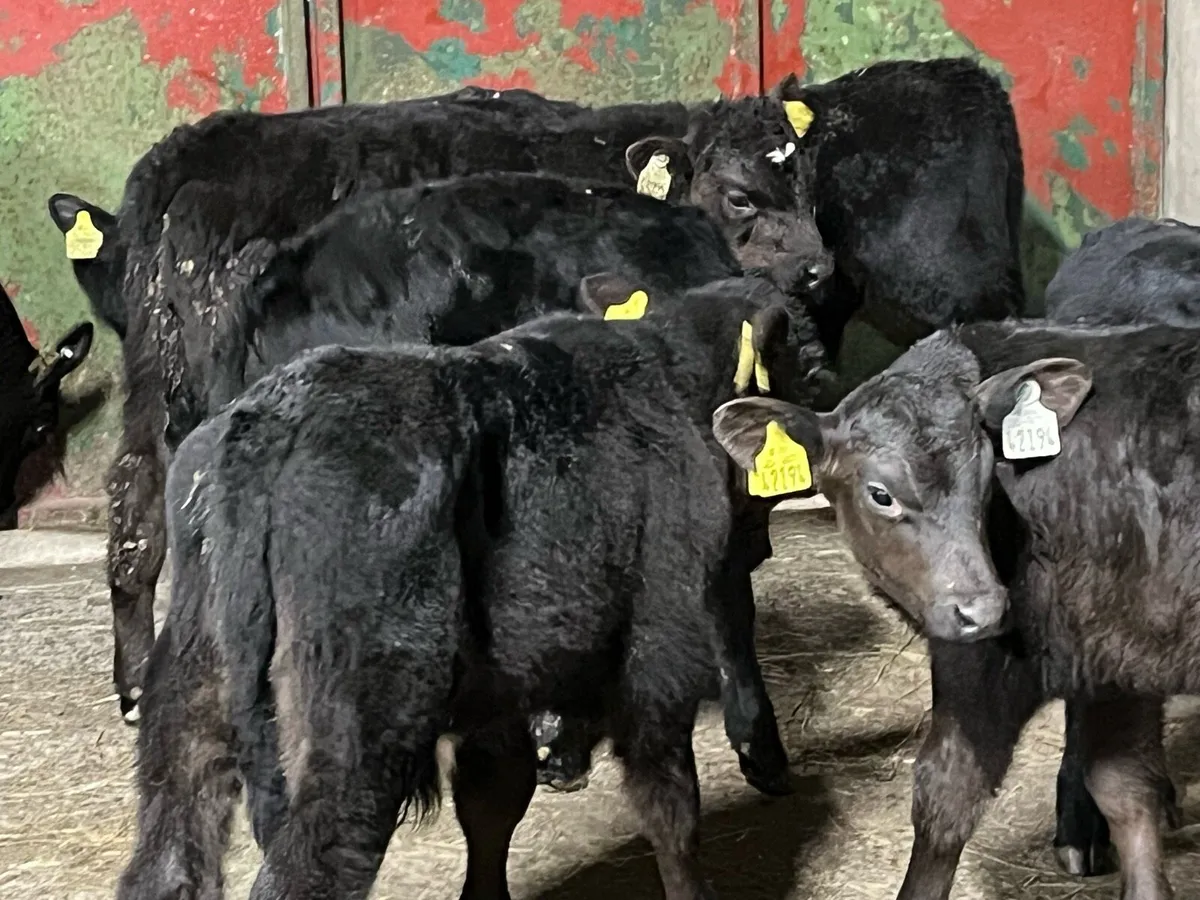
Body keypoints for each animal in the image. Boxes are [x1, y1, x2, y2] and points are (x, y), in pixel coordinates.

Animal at [115, 276, 826, 900]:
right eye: (798, 354)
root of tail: (271, 424)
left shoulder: (500, 688)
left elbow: (493, 801)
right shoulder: (659, 648)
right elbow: (670, 804)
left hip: (186, 700)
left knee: (166, 864)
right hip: (357, 728)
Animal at [713, 320, 1199, 900]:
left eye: (989, 480)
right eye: (881, 494)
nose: (983, 609)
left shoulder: (994, 660)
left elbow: (946, 796)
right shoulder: (1114, 655)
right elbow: (1126, 787)